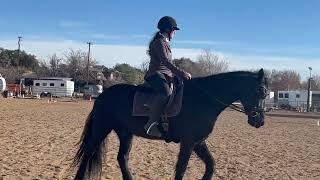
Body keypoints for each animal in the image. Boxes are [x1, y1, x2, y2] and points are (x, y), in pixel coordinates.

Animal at [72, 68, 268, 179]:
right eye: (260, 91)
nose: (259, 121)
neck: (203, 99)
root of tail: (103, 95)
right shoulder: (189, 142)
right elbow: (181, 169)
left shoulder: (199, 142)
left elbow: (210, 166)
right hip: (101, 128)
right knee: (88, 154)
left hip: (125, 133)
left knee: (122, 158)